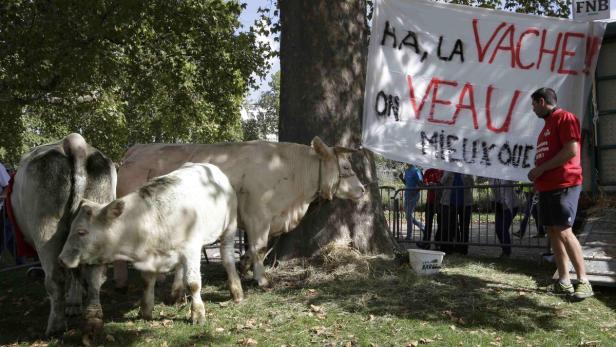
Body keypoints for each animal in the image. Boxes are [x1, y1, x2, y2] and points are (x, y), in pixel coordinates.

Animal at [9, 134, 116, 338]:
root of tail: (74, 142)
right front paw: (74, 304)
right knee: (94, 273)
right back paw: (93, 319)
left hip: (46, 227)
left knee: (55, 277)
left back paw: (55, 327)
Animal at [58, 164, 243, 326]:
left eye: (82, 232)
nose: (61, 259)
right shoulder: (152, 256)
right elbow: (147, 281)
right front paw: (146, 311)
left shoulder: (192, 249)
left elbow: (193, 283)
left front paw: (197, 314)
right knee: (179, 269)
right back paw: (176, 294)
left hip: (229, 228)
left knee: (227, 258)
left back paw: (236, 292)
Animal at [114, 137, 366, 290]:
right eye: (345, 167)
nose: (363, 189)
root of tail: (137, 149)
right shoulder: (258, 216)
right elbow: (260, 247)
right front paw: (261, 279)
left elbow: (260, 248)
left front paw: (244, 267)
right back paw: (122, 282)